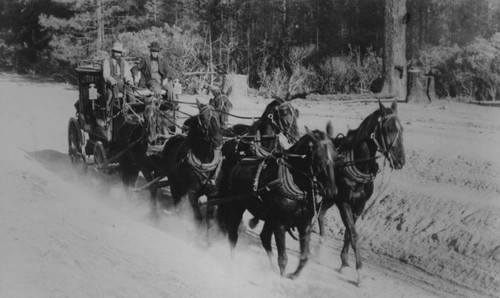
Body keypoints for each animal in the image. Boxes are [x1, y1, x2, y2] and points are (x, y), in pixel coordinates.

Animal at [217, 121, 338, 280]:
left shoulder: (304, 224)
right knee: (233, 235)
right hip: (237, 207)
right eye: (318, 156)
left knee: (264, 237)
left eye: (336, 155)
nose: (331, 191)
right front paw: (282, 277)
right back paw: (232, 263)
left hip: (269, 218)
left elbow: (304, 257)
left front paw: (292, 275)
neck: (296, 184)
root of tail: (238, 163)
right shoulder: (280, 224)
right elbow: (283, 258)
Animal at [318, 99, 404, 284]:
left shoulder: (359, 206)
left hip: (330, 197)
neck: (356, 163)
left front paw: (344, 263)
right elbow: (353, 234)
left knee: (320, 213)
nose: (400, 161)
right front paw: (359, 271)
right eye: (389, 129)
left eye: (402, 129)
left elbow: (348, 234)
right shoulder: (344, 203)